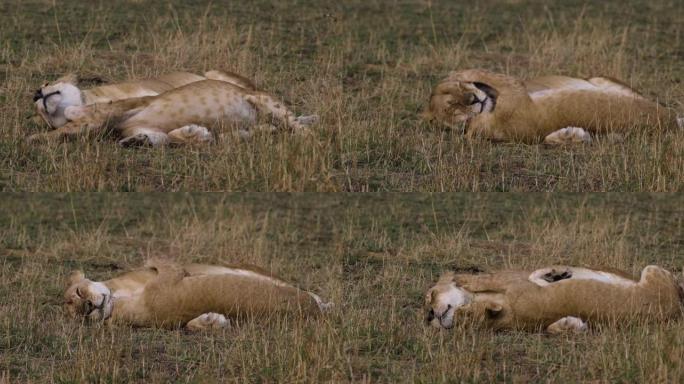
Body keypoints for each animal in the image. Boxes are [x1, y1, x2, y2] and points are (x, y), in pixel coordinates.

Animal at [424, 68, 680, 143]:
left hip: (601, 79)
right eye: (453, 109)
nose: (473, 99)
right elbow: (495, 75)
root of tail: (670, 122)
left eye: (459, 89)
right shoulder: (517, 95)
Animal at [424, 264, 680, 332]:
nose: (429, 316)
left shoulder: (510, 280)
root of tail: (676, 311)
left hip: (651, 269)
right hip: (654, 271)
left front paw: (556, 273)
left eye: (430, 295)